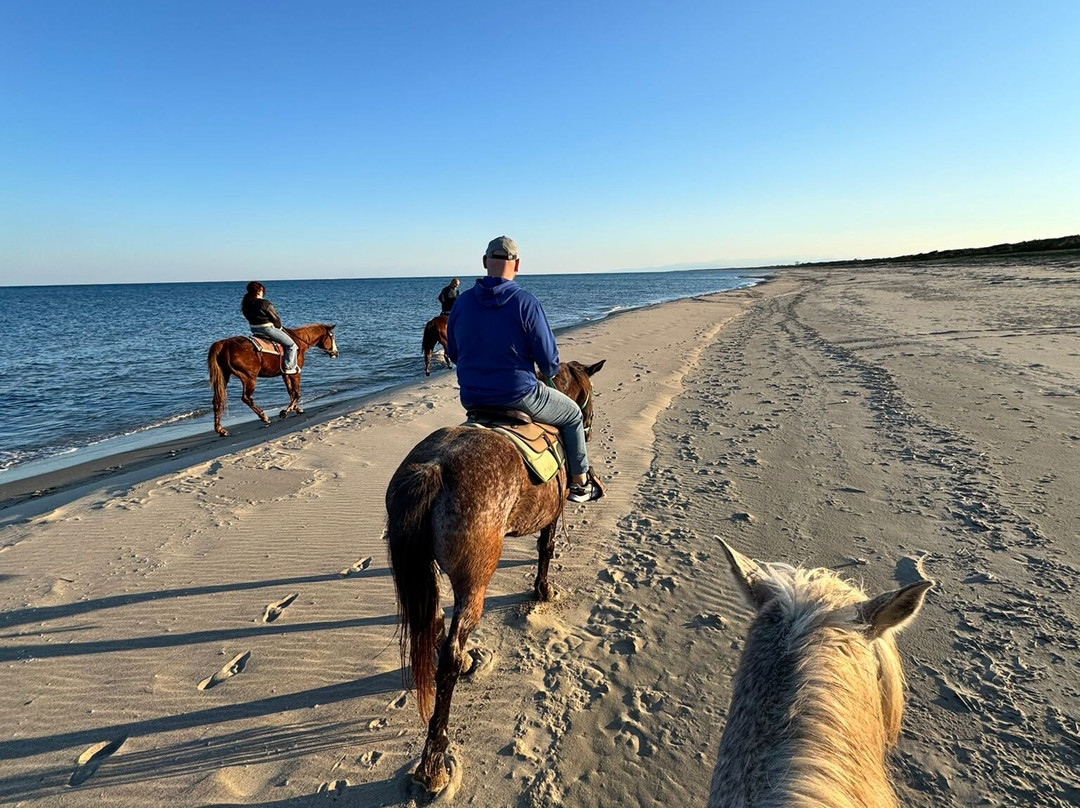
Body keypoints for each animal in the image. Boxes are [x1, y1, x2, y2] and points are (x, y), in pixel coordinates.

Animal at [207, 323, 338, 437]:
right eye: (331, 336)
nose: (336, 353)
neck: (298, 343)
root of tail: (224, 344)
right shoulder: (295, 373)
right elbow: (297, 393)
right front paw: (285, 411)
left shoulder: (285, 374)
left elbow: (291, 392)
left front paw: (296, 409)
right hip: (248, 377)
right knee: (246, 398)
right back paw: (264, 417)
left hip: (224, 377)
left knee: (217, 401)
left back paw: (221, 430)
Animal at [386, 359, 605, 796]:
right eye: (589, 397)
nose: (590, 426)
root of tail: (433, 469)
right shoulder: (553, 515)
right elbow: (546, 550)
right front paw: (543, 591)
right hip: (475, 580)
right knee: (449, 656)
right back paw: (434, 762)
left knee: (437, 624)